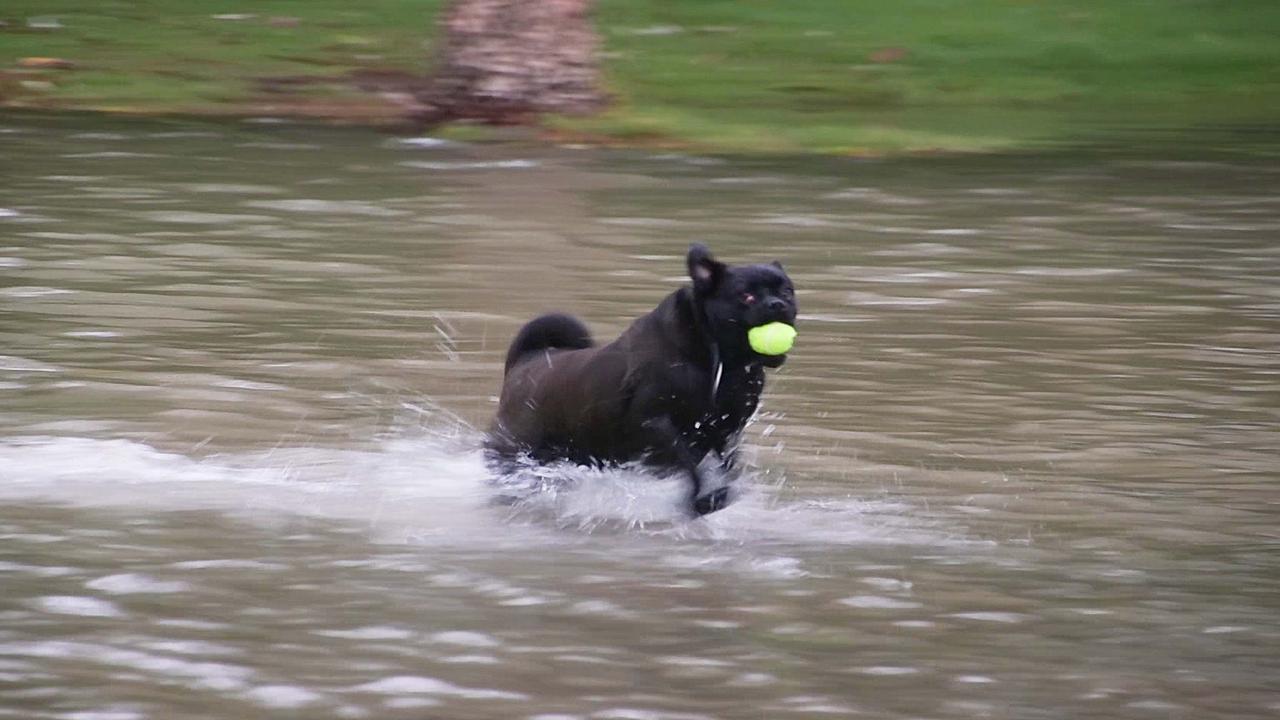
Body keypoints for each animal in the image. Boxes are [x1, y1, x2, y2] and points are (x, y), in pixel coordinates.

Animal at [483, 243, 793, 512]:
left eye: (789, 291)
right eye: (746, 296)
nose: (778, 304)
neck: (718, 363)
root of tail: (525, 361)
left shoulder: (728, 431)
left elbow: (727, 468)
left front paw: (718, 496)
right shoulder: (655, 423)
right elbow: (688, 462)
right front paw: (702, 499)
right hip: (516, 453)